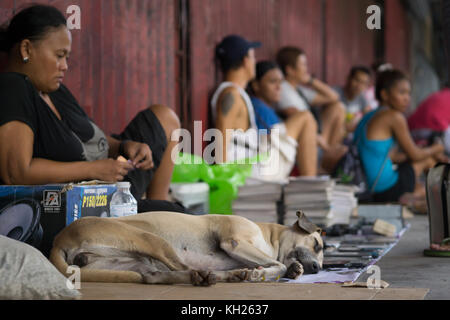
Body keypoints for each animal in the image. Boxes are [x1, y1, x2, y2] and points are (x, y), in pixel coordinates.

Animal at [50, 210, 324, 284]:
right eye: (318, 244)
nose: (318, 268)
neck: (269, 236)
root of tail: (58, 239)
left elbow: (282, 265)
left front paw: (293, 269)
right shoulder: (234, 242)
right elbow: (276, 264)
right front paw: (262, 272)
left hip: (130, 262)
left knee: (156, 276)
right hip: (150, 239)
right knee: (184, 268)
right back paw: (224, 276)